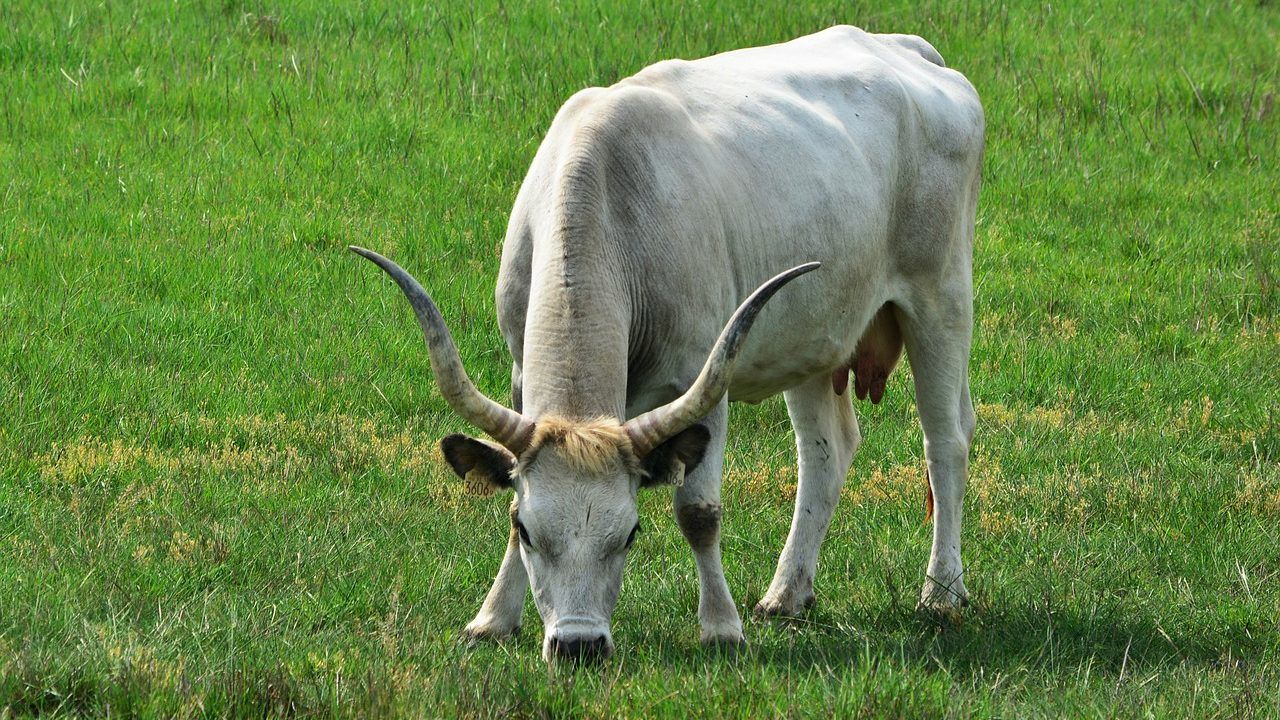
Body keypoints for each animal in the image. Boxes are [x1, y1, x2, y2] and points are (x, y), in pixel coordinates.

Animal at [355, 23, 983, 661]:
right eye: (529, 533)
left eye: (630, 533)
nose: (579, 646)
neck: (612, 200)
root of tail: (909, 50)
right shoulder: (519, 374)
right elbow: (511, 488)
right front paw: (492, 618)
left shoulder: (703, 377)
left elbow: (698, 512)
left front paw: (721, 626)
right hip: (813, 336)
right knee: (825, 453)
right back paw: (786, 594)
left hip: (941, 298)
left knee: (946, 441)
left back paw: (942, 592)